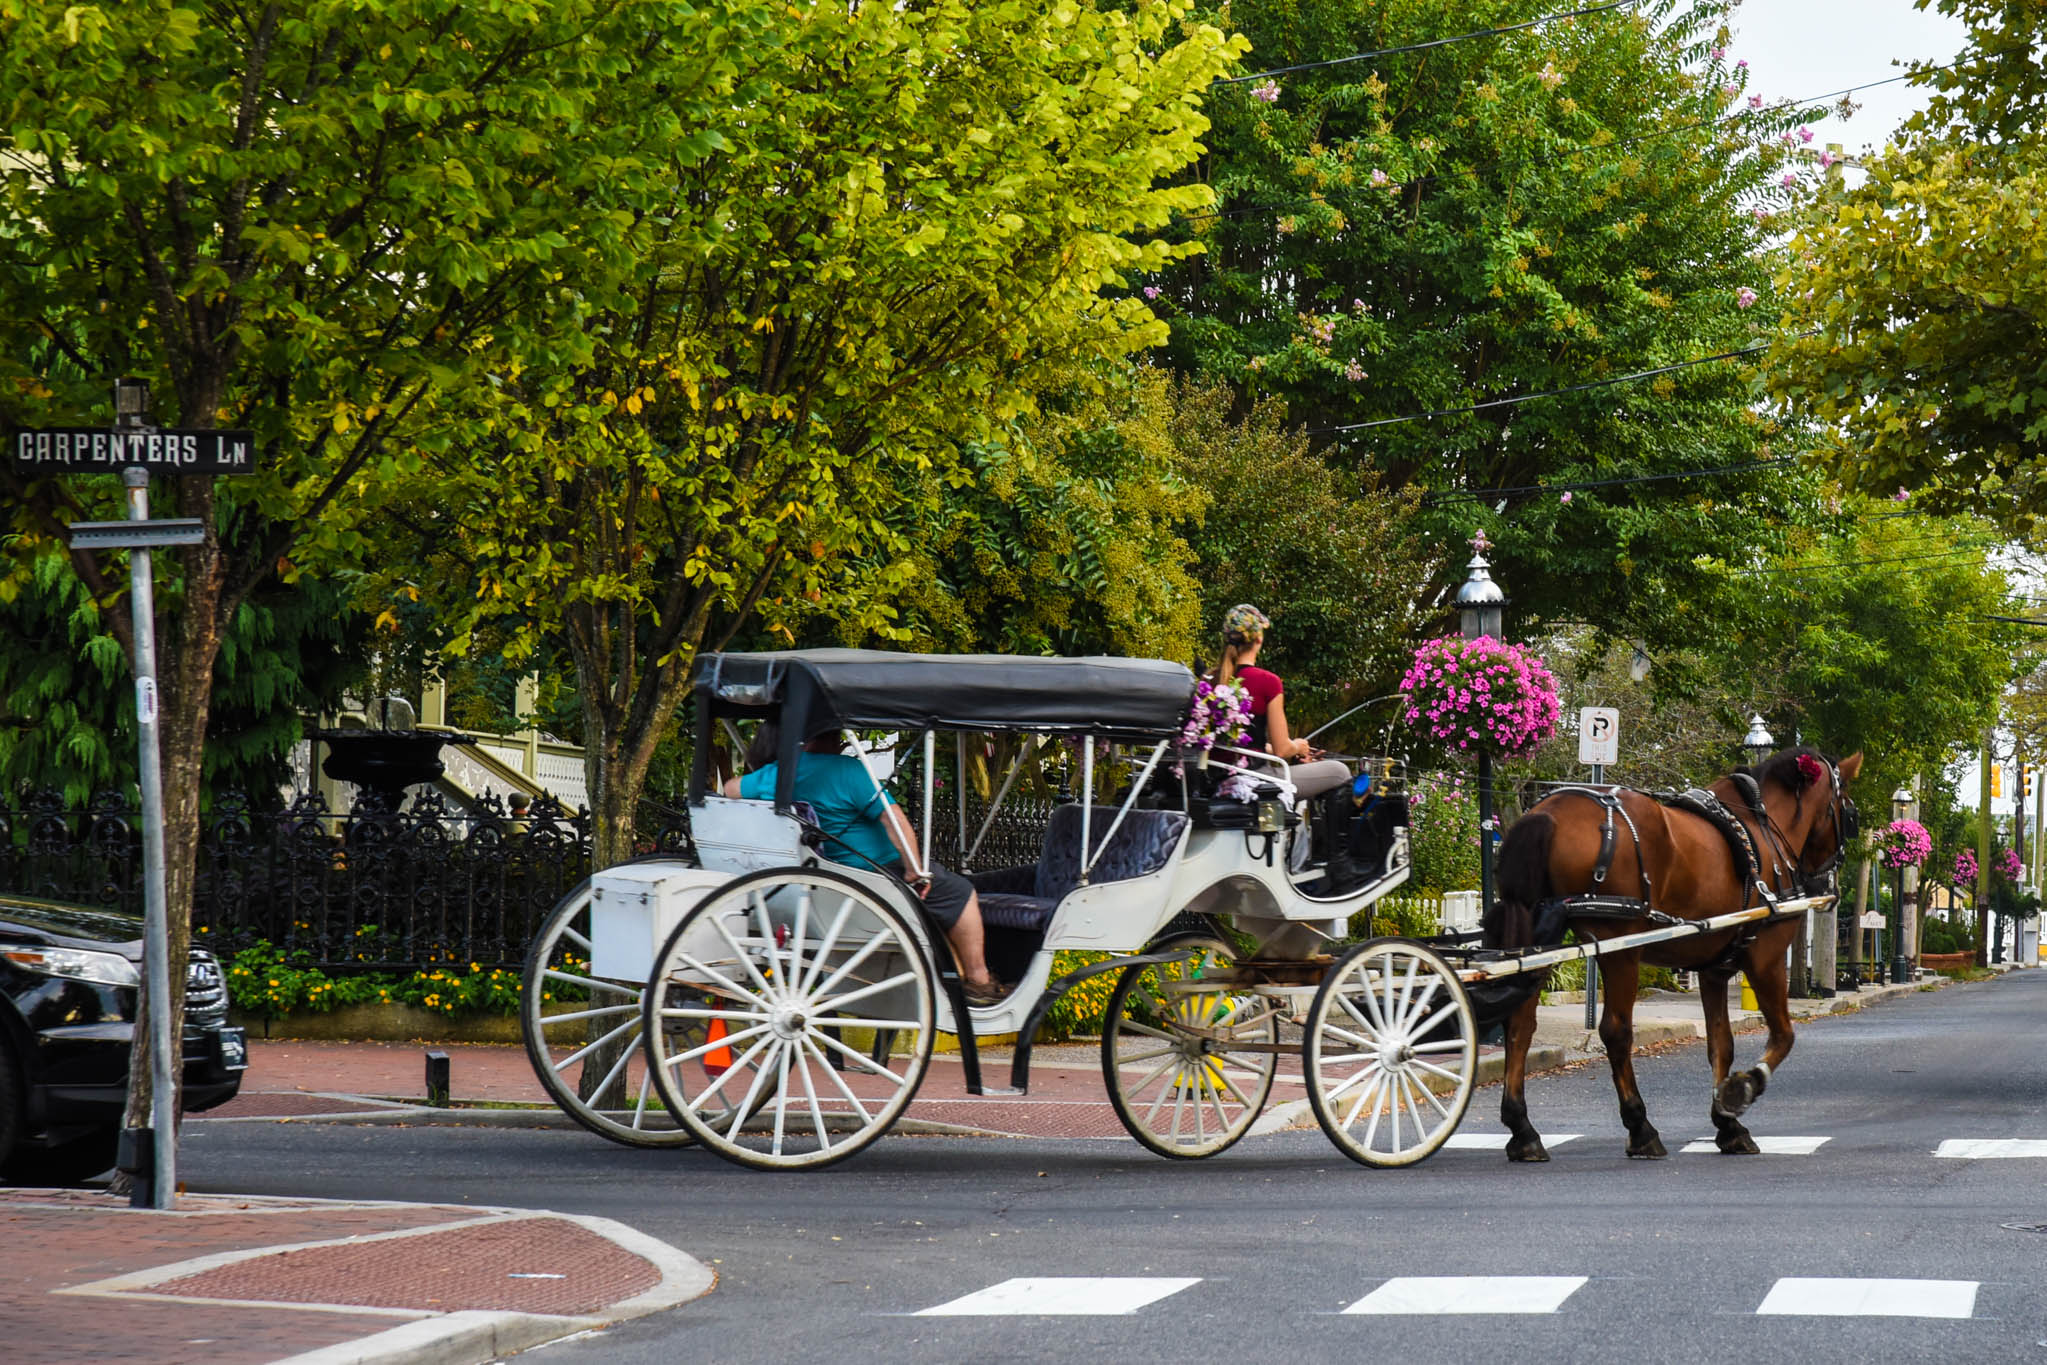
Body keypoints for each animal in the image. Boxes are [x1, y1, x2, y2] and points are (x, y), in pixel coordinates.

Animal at [1490, 749, 1858, 1162]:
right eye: (1847, 810)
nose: (1824, 880)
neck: (1764, 827)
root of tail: (1549, 813)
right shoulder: (1766, 958)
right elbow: (1783, 1035)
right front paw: (1742, 1089)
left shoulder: (1715, 970)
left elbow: (1721, 1045)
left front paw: (1727, 1125)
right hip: (1619, 947)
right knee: (1615, 1031)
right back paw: (1640, 1128)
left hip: (1539, 941)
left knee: (1520, 1025)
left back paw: (1523, 1130)